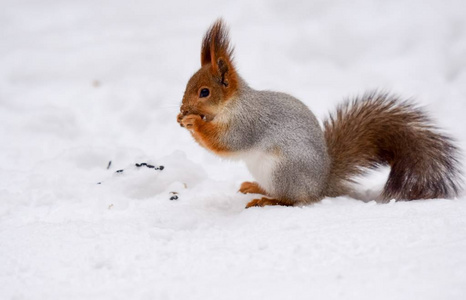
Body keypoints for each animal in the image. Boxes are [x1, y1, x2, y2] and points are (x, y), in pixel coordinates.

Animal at [176, 18, 462, 206]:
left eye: (204, 92)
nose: (182, 108)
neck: (232, 103)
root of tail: (322, 185)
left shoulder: (248, 122)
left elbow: (227, 142)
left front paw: (193, 123)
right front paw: (183, 120)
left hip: (283, 170)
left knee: (295, 200)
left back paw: (268, 200)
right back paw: (254, 187)